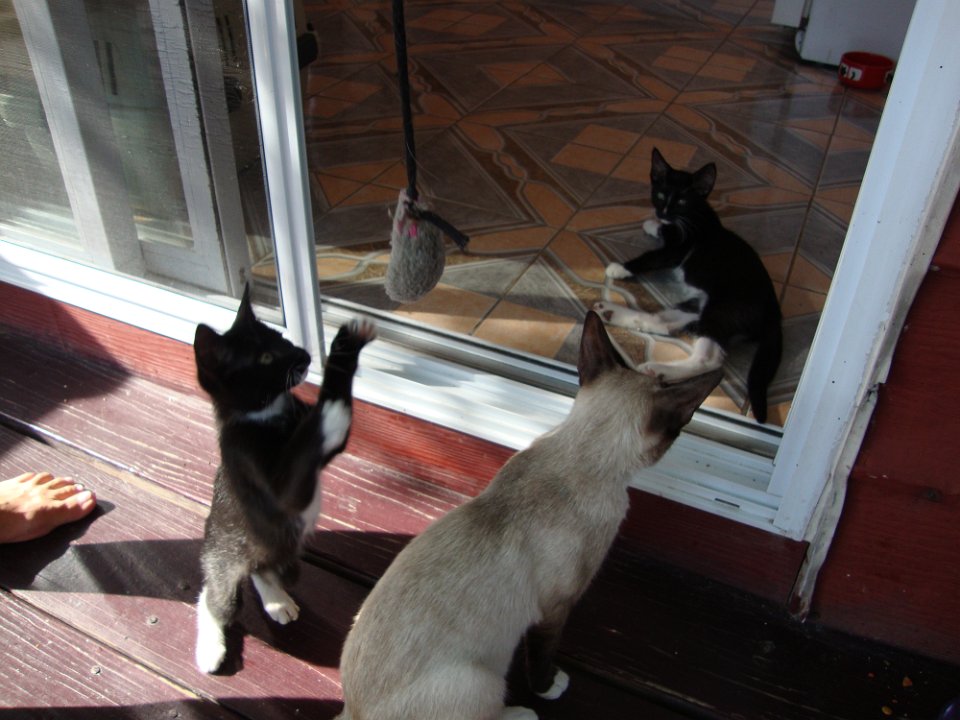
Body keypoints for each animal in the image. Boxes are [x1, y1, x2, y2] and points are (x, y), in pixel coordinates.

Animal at [192, 284, 375, 673]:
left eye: (281, 338)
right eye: (264, 358)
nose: (303, 353)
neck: (267, 414)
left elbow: (334, 425)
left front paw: (347, 344)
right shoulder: (254, 462)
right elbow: (319, 431)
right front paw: (344, 345)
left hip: (274, 553)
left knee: (266, 570)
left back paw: (277, 599)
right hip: (225, 557)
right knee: (214, 598)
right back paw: (210, 647)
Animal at [335, 310, 721, 720]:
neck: (577, 454)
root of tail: (354, 711)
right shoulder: (555, 608)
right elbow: (541, 657)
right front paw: (549, 687)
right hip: (482, 680)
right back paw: (522, 712)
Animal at [594, 147, 782, 423]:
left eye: (682, 201)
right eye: (660, 194)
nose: (663, 213)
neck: (698, 214)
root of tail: (774, 312)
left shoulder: (678, 248)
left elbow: (651, 257)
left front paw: (621, 267)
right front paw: (653, 225)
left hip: (722, 309)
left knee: (710, 359)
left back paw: (659, 369)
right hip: (698, 304)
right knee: (665, 323)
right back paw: (612, 312)